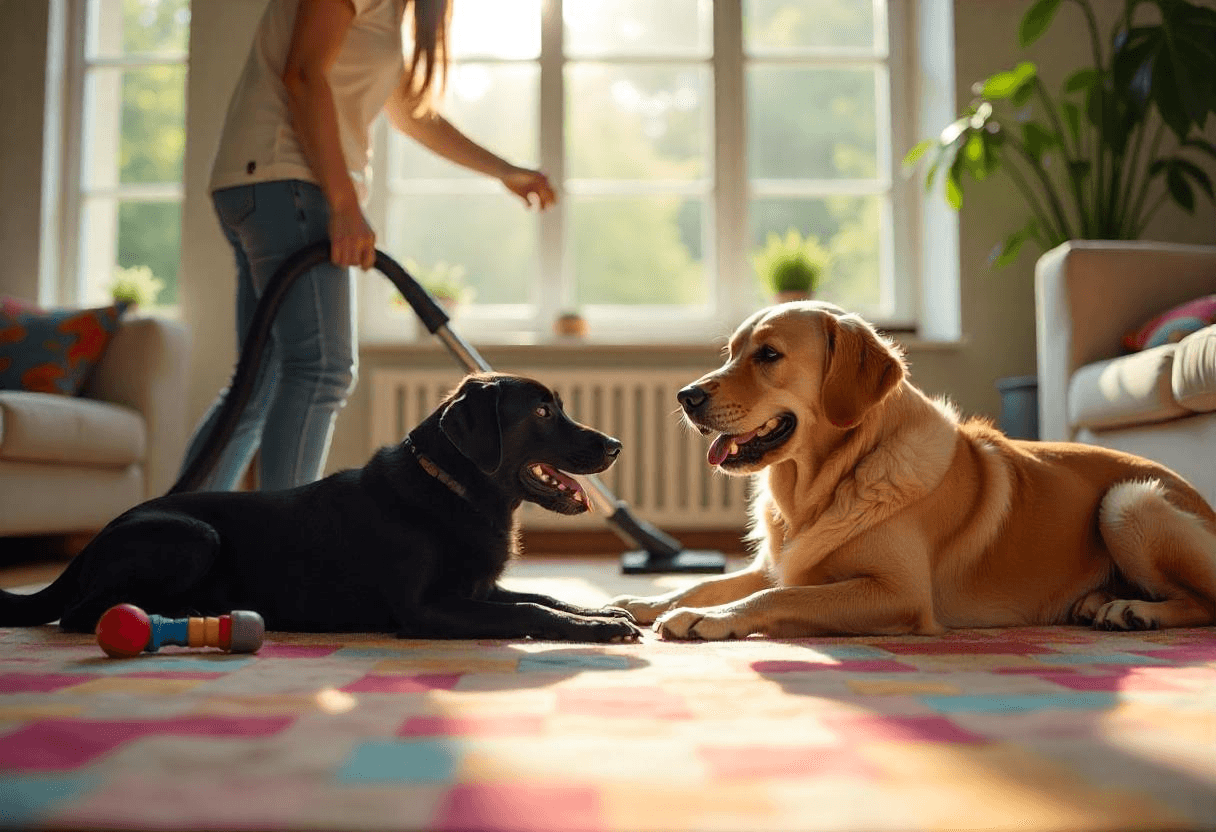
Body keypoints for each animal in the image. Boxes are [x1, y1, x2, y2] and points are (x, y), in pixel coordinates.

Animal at [0, 372, 646, 642]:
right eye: (540, 411)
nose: (616, 445)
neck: (454, 492)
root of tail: (93, 540)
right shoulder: (428, 609)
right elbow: (531, 610)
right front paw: (596, 628)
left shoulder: (481, 587)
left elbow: (546, 595)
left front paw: (606, 612)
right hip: (191, 536)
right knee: (81, 614)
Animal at [612, 301, 1216, 642]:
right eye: (731, 351)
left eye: (768, 355)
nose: (686, 396)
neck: (823, 485)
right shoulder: (779, 564)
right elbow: (707, 581)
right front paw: (647, 602)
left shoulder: (897, 594)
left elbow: (778, 599)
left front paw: (705, 619)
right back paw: (1096, 602)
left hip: (1129, 502)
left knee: (1205, 603)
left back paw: (1133, 610)